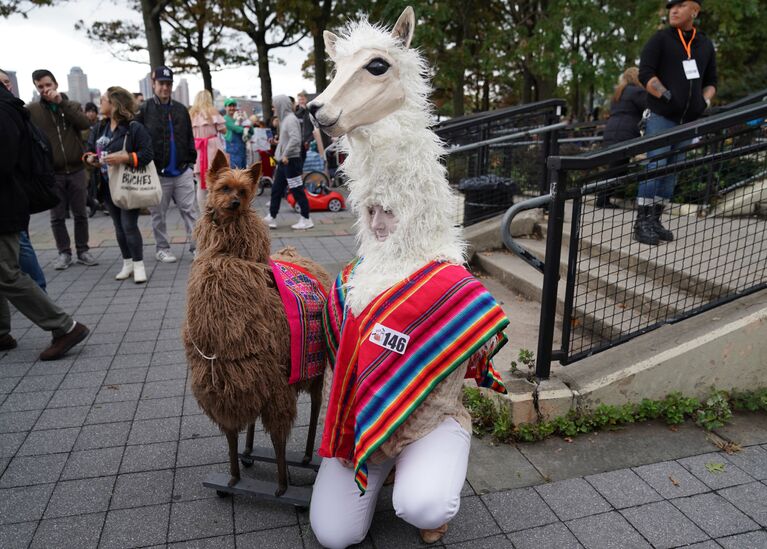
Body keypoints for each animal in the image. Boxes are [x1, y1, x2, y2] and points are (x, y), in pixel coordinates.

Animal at [184, 149, 332, 492]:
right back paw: (252, 451)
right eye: (223, 187)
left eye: (243, 191)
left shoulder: (277, 389)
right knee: (252, 424)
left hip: (315, 366)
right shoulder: (226, 392)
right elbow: (230, 438)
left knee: (317, 405)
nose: (234, 204)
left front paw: (281, 486)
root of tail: (295, 255)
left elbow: (278, 441)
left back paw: (308, 456)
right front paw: (234, 476)